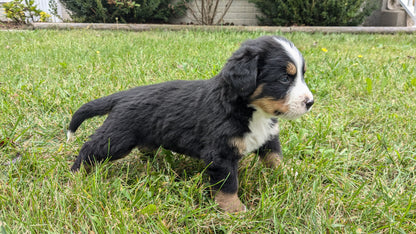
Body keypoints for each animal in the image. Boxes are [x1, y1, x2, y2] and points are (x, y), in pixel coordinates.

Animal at [66, 35, 314, 213]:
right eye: (284, 78)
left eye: (301, 75)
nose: (310, 102)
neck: (252, 111)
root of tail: (123, 96)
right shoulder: (220, 153)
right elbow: (228, 185)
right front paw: (234, 211)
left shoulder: (268, 137)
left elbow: (275, 159)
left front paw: (289, 174)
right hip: (116, 139)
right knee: (89, 149)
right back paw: (75, 177)